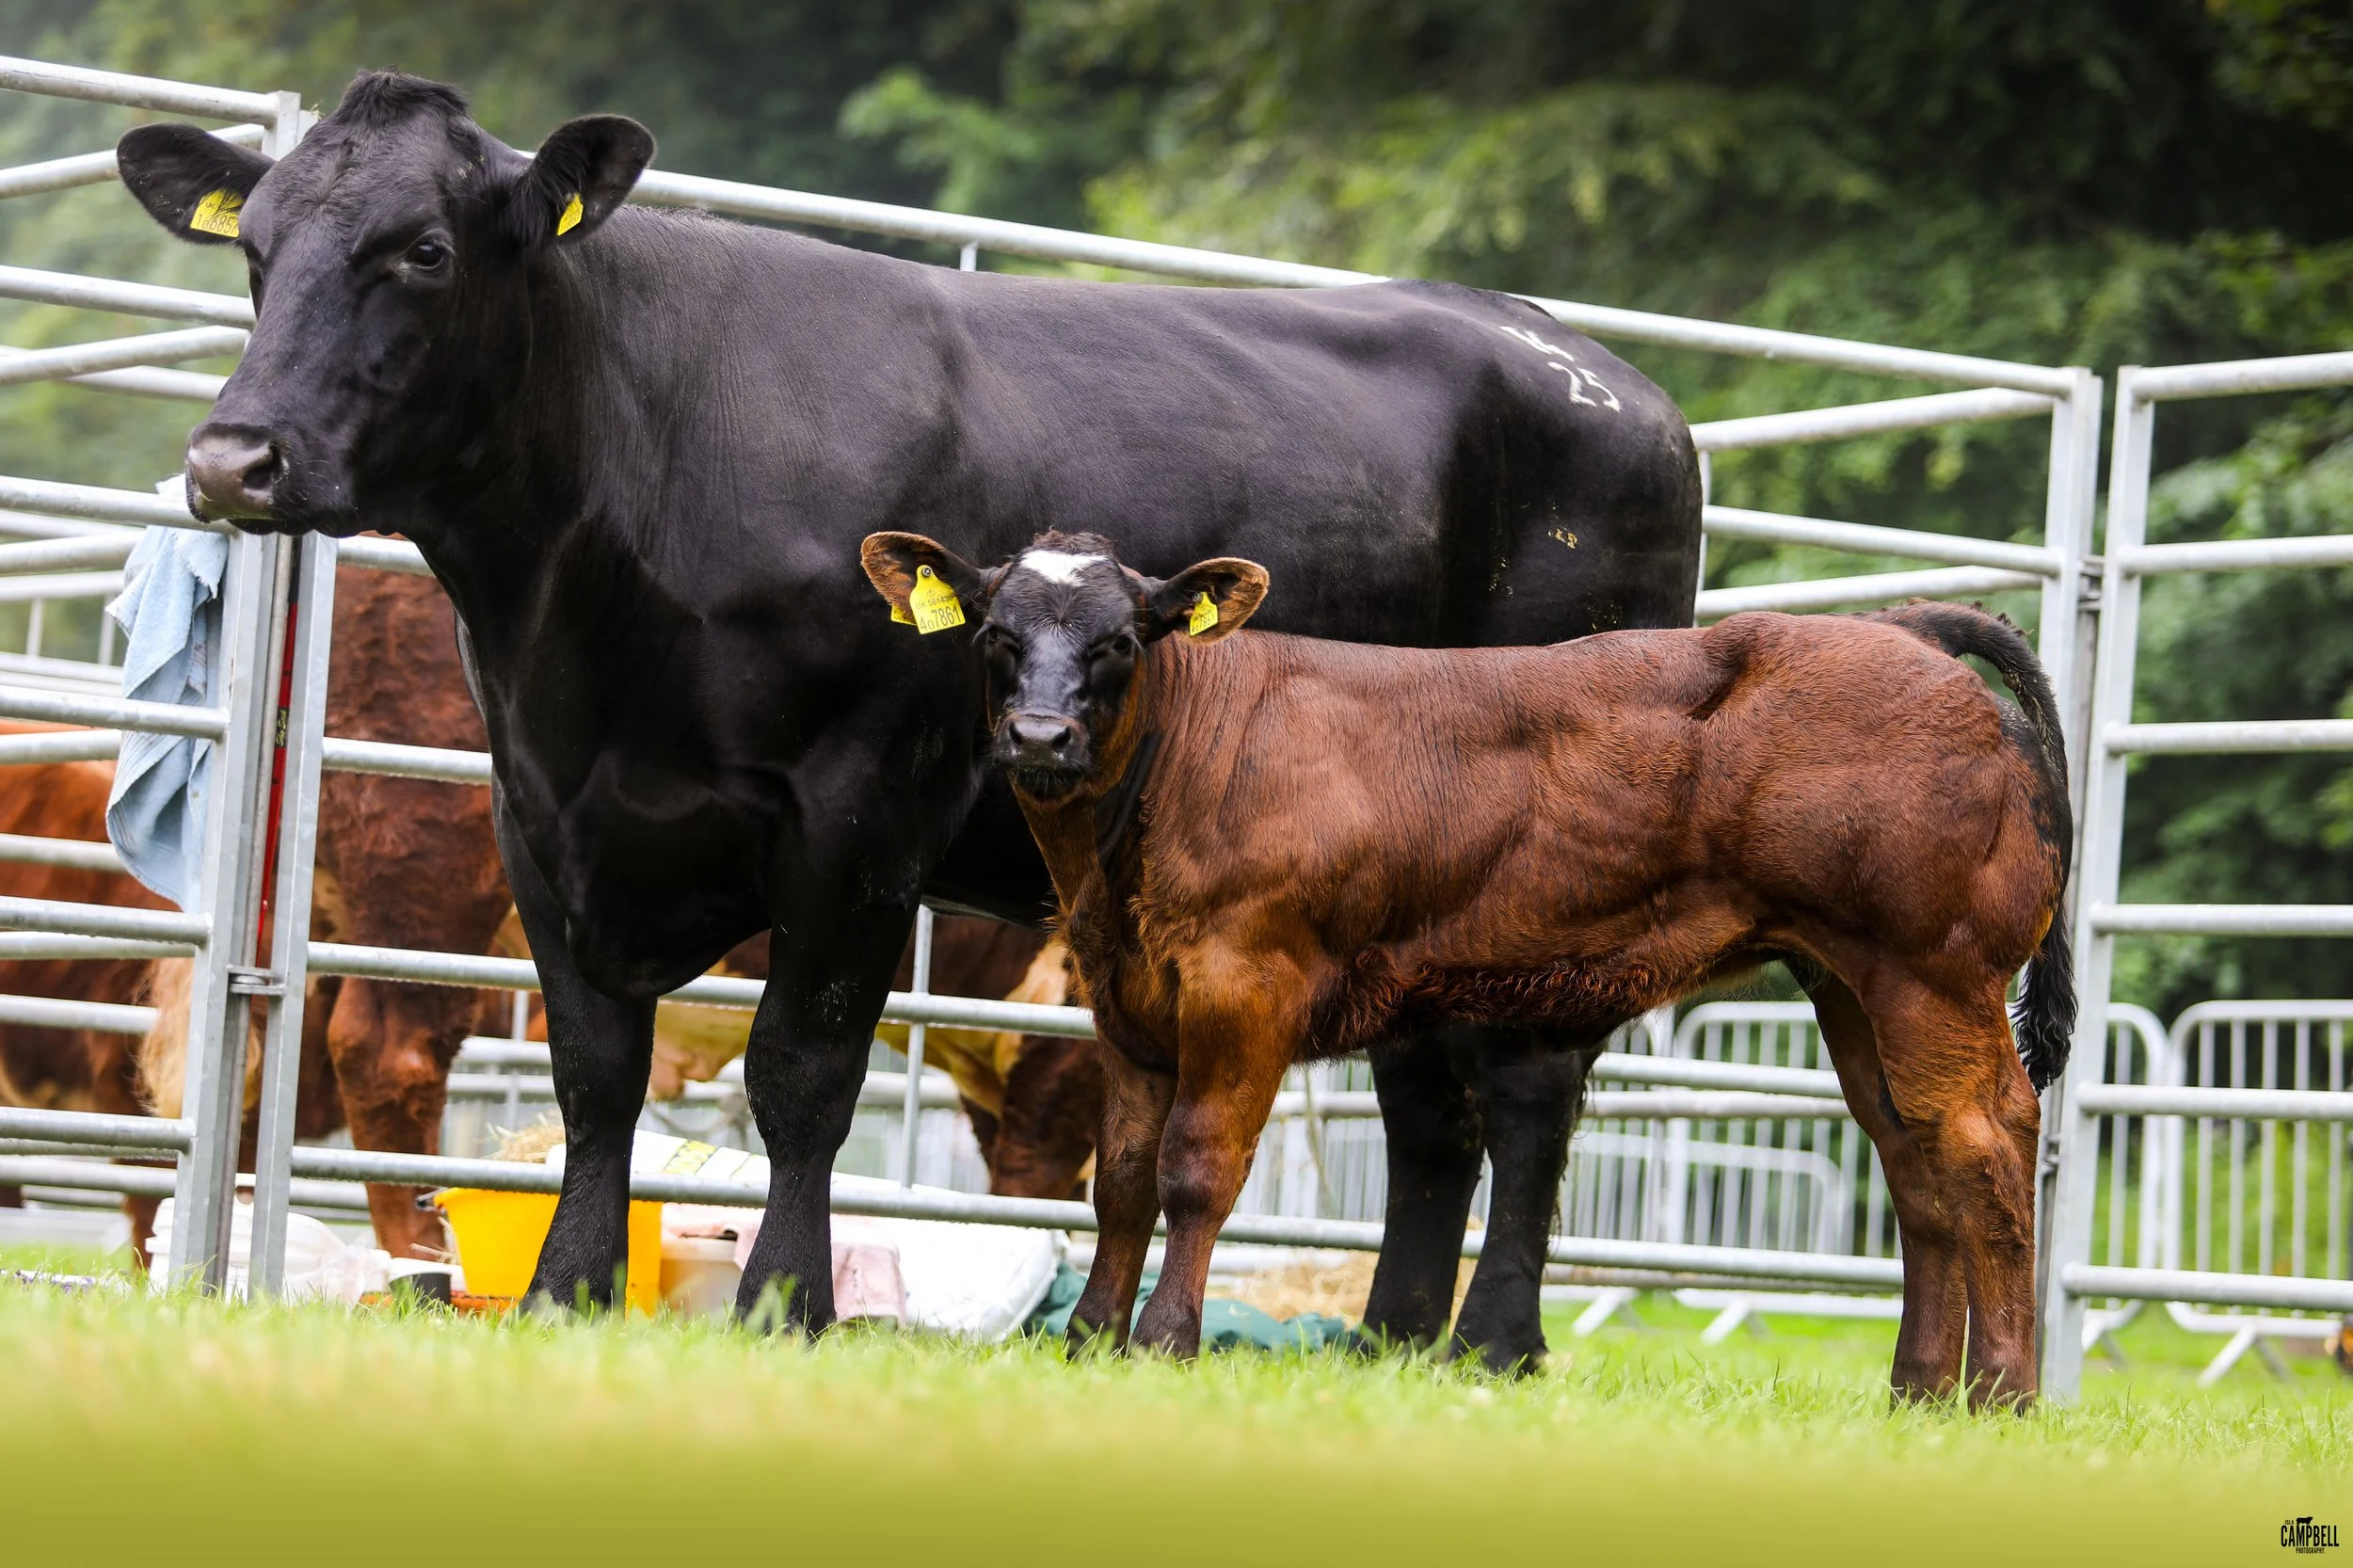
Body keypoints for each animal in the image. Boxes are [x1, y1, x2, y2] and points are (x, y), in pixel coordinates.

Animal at [113, 70, 1702, 1355]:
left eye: (424, 251)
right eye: (254, 252)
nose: (232, 459)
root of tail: (1603, 375)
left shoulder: (857, 807)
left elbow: (803, 1071)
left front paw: (782, 1301)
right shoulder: (543, 808)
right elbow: (593, 1074)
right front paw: (567, 1290)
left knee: (1530, 1092)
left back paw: (1496, 1342)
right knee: (1431, 1102)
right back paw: (1390, 1338)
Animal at [865, 528, 2073, 1407]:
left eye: (1120, 639)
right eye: (996, 633)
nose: (1038, 736)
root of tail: (1902, 630)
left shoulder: (1243, 989)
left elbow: (1195, 1170)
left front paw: (1165, 1339)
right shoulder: (1127, 1006)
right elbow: (1118, 1182)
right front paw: (1089, 1339)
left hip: (1933, 970)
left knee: (1985, 1139)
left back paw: (2001, 1393)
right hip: (1850, 981)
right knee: (1913, 1158)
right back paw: (1918, 1387)